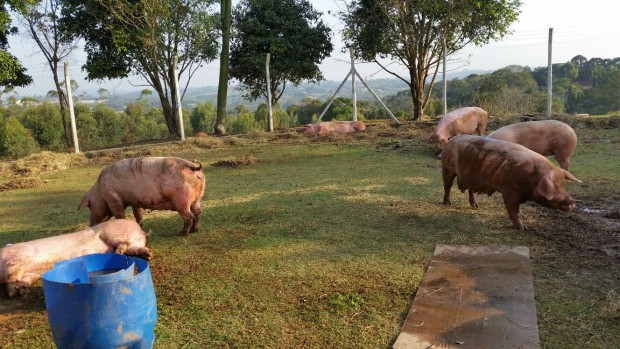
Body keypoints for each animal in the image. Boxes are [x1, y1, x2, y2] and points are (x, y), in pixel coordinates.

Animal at [0, 218, 152, 296]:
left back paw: (118, 252)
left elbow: (12, 275)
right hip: (134, 242)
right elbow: (25, 279)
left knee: (123, 243)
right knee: (134, 248)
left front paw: (12, 292)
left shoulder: (16, 257)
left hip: (111, 232)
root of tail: (139, 230)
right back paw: (148, 255)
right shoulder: (32, 272)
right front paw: (22, 291)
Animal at [77, 156, 206, 235]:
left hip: (182, 201)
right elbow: (138, 214)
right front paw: (139, 225)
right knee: (197, 213)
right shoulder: (135, 201)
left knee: (189, 216)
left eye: (89, 206)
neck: (100, 191)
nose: (90, 225)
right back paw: (195, 230)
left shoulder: (113, 199)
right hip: (197, 199)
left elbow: (119, 215)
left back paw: (182, 233)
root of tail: (194, 167)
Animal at [440, 135, 580, 230]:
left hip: (470, 178)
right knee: (447, 186)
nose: (572, 202)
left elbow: (518, 210)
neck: (532, 179)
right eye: (554, 186)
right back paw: (447, 203)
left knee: (470, 190)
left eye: (563, 185)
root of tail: (450, 140)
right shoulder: (509, 190)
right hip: (446, 168)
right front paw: (523, 228)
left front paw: (523, 217)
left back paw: (475, 206)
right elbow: (513, 210)